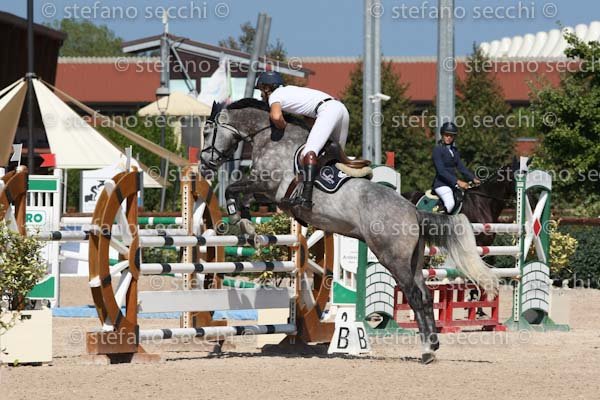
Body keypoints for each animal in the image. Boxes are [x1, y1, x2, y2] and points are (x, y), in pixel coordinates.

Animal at [200, 98, 499, 363]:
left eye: (206, 131)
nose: (204, 165)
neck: (270, 136)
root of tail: (414, 212)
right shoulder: (267, 192)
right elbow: (240, 195)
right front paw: (248, 226)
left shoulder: (268, 186)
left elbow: (232, 189)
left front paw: (241, 222)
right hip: (412, 260)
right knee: (424, 296)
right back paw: (432, 345)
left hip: (393, 259)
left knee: (414, 296)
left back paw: (426, 350)